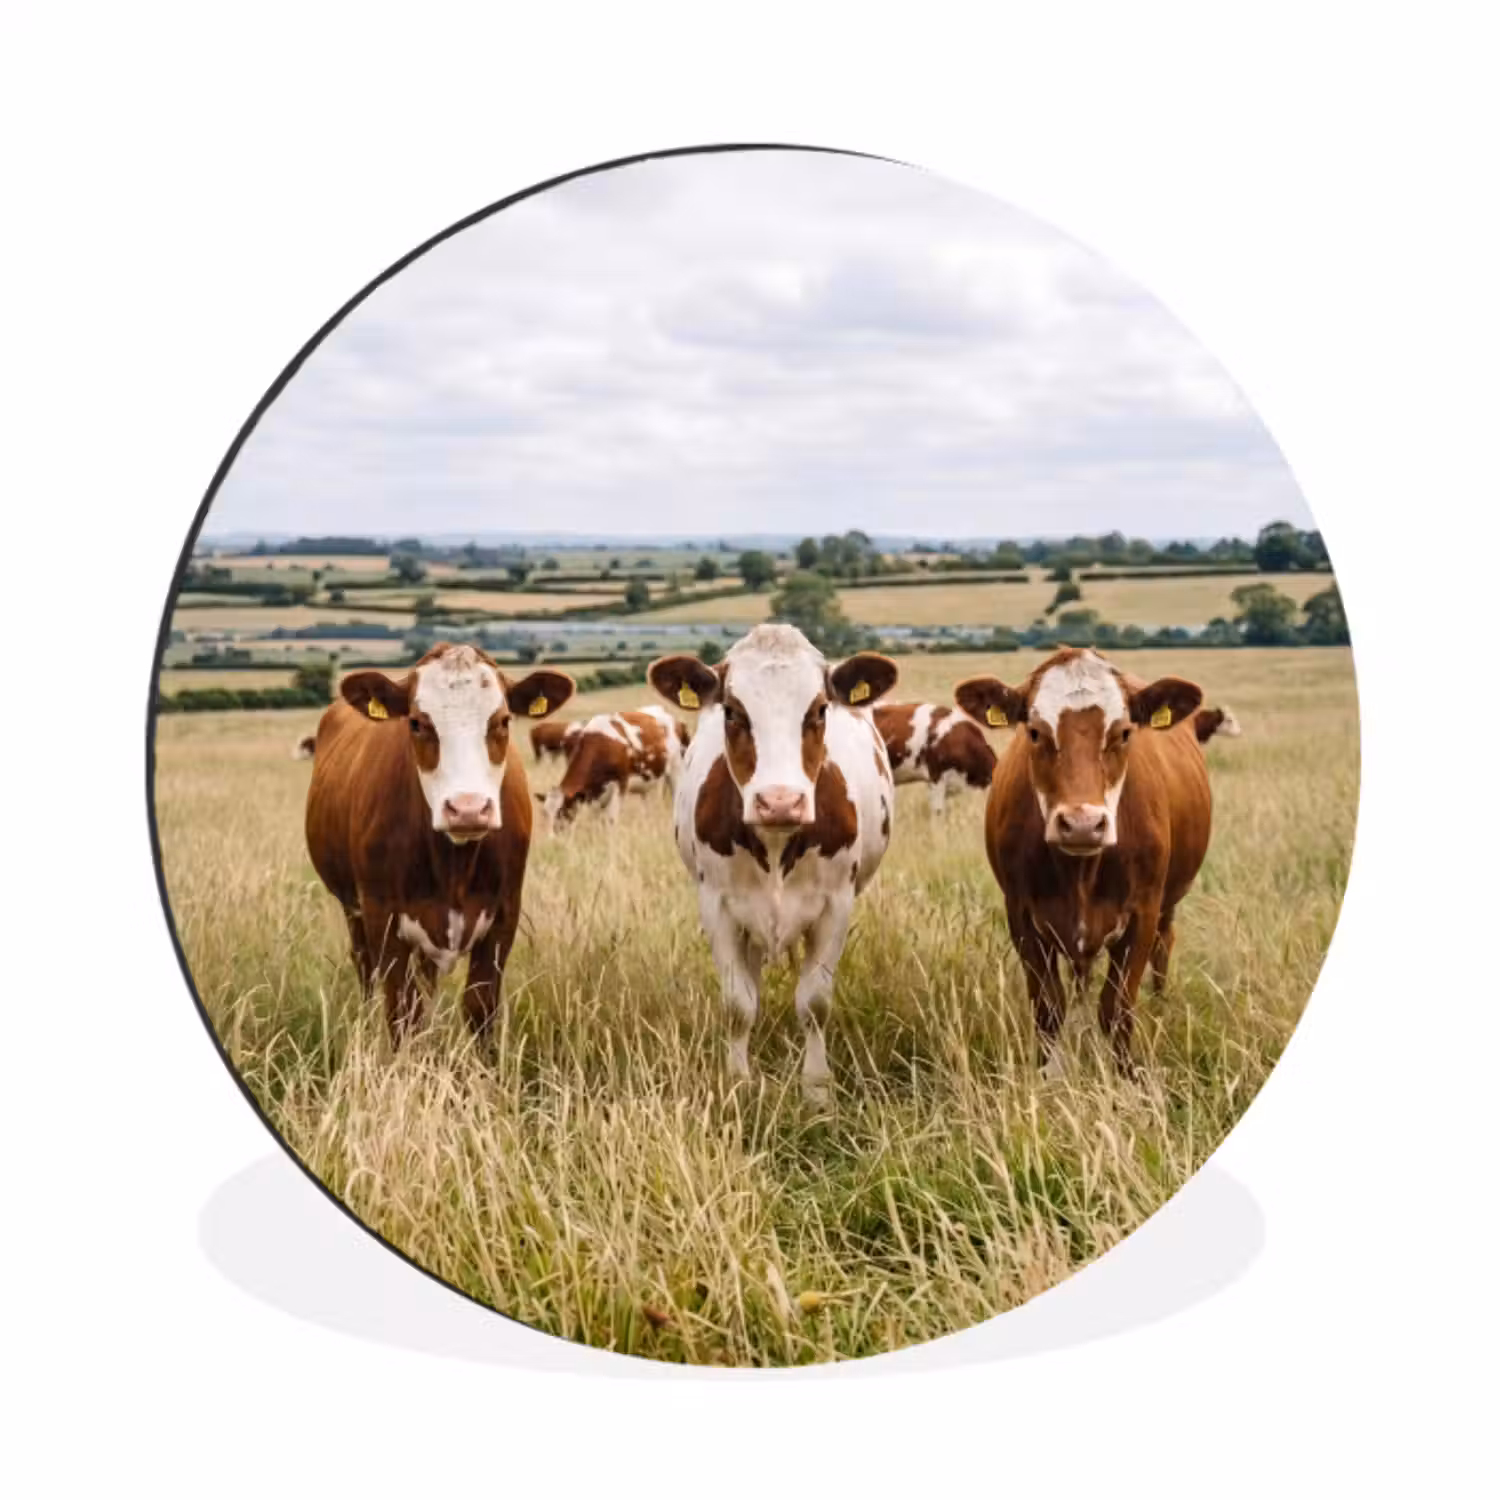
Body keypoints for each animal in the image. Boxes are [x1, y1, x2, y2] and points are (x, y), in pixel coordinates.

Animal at [304, 643, 575, 1047]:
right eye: (416, 723)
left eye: (504, 721)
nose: (467, 809)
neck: (453, 865)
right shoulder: (382, 916)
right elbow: (402, 1013)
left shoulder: (504, 916)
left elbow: (480, 1007)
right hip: (352, 908)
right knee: (365, 968)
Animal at [535, 706, 687, 831]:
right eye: (544, 814)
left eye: (562, 811)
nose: (552, 840)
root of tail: (675, 720)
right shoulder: (594, 795)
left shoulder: (620, 785)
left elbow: (611, 821)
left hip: (676, 771)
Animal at [648, 624, 898, 1102]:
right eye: (732, 712)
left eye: (819, 710)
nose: (779, 801)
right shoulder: (717, 906)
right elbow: (738, 1003)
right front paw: (739, 1082)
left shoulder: (836, 905)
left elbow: (814, 1002)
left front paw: (817, 1089)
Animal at [954, 646, 1210, 1078]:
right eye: (1034, 732)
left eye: (1123, 732)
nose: (1082, 824)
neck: (1080, 872)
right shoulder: (1022, 916)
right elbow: (1048, 1007)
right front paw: (1048, 1074)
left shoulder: (1143, 913)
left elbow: (1117, 1007)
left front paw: (1125, 1076)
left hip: (1169, 903)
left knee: (1164, 945)